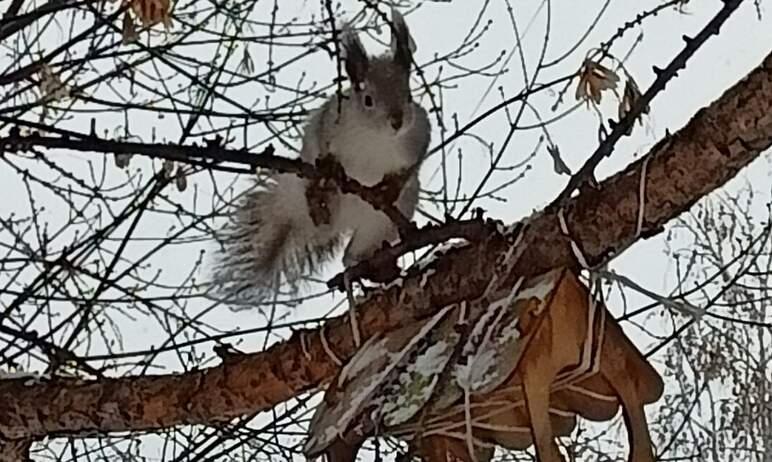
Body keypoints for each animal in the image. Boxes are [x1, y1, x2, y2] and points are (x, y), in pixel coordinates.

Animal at [210, 9, 428, 304]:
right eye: (368, 99)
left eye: (408, 95)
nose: (397, 121)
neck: (377, 138)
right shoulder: (327, 125)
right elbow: (322, 150)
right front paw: (330, 170)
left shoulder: (418, 138)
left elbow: (411, 167)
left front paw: (390, 188)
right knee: (316, 204)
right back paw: (319, 203)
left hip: (380, 224)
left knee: (351, 255)